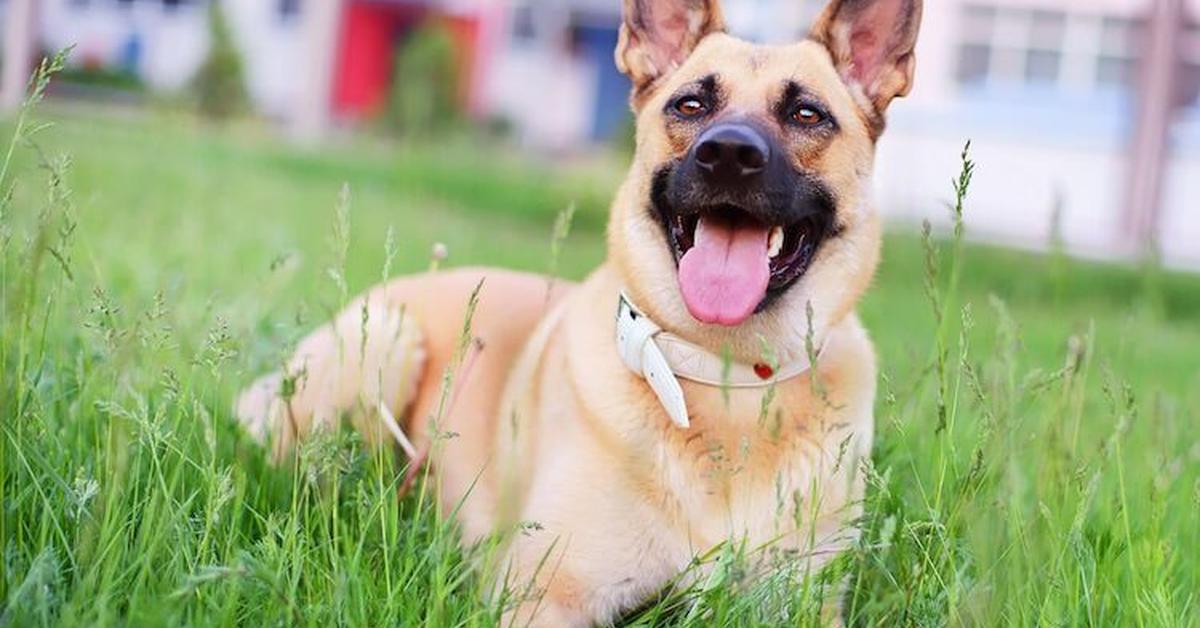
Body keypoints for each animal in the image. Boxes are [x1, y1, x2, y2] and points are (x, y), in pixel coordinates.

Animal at [238, 1, 921, 624]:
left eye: (807, 114)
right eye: (690, 106)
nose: (727, 154)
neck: (730, 382)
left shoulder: (807, 605)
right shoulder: (546, 596)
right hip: (386, 342)